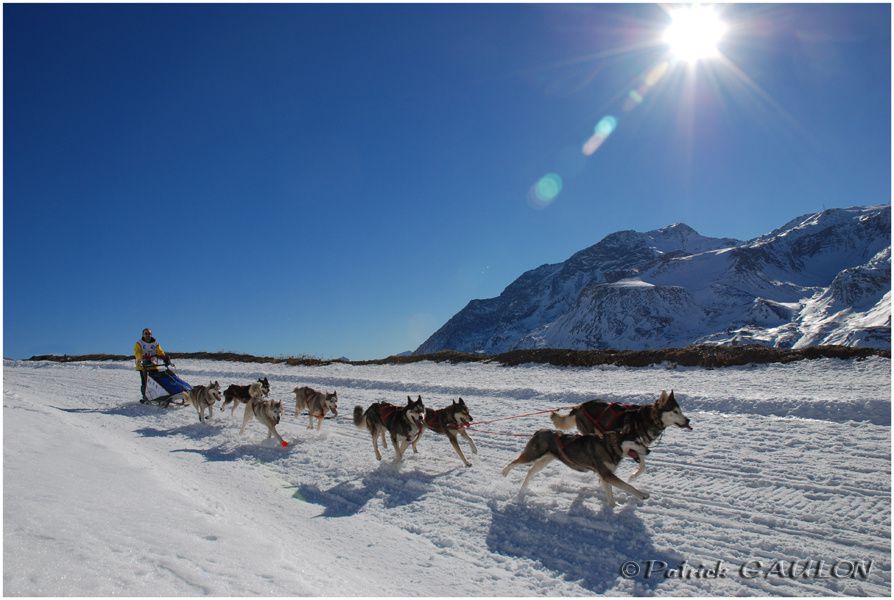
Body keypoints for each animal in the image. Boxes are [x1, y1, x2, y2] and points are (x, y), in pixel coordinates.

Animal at [504, 426, 652, 506]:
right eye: (637, 442)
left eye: (642, 441)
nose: (649, 451)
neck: (609, 445)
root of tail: (540, 431)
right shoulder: (606, 474)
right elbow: (627, 486)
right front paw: (642, 495)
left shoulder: (605, 475)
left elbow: (610, 494)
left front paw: (613, 506)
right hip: (532, 456)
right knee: (514, 462)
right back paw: (504, 472)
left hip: (544, 460)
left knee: (530, 471)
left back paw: (523, 490)